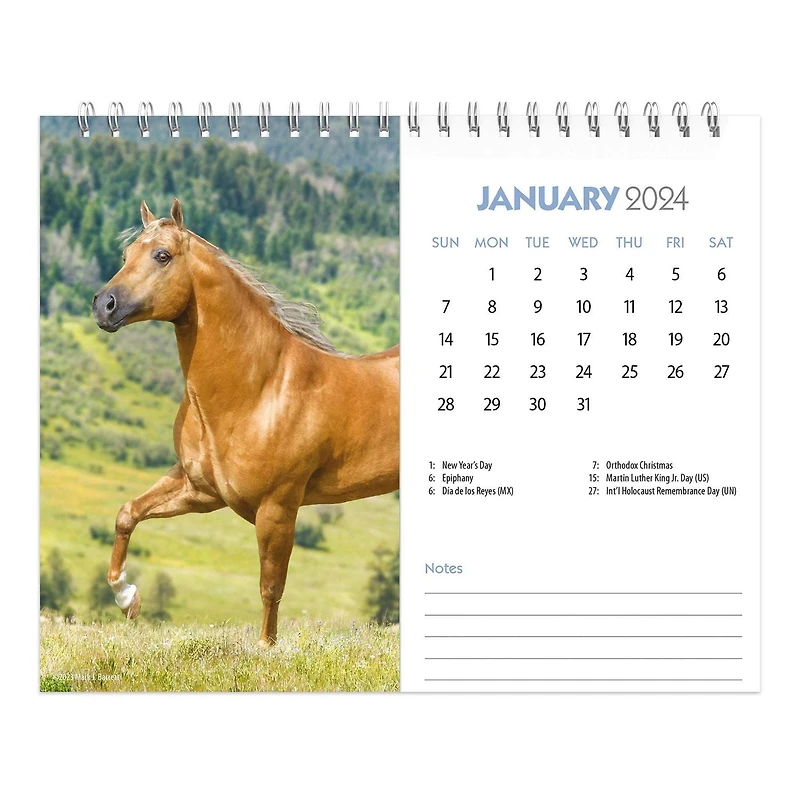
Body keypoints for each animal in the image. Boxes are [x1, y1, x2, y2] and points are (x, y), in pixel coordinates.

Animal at [92, 199, 399, 645]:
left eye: (162, 256)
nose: (104, 305)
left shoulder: (277, 507)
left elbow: (271, 586)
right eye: (126, 255)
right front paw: (127, 598)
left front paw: (265, 648)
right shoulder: (199, 490)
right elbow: (128, 513)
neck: (258, 390)